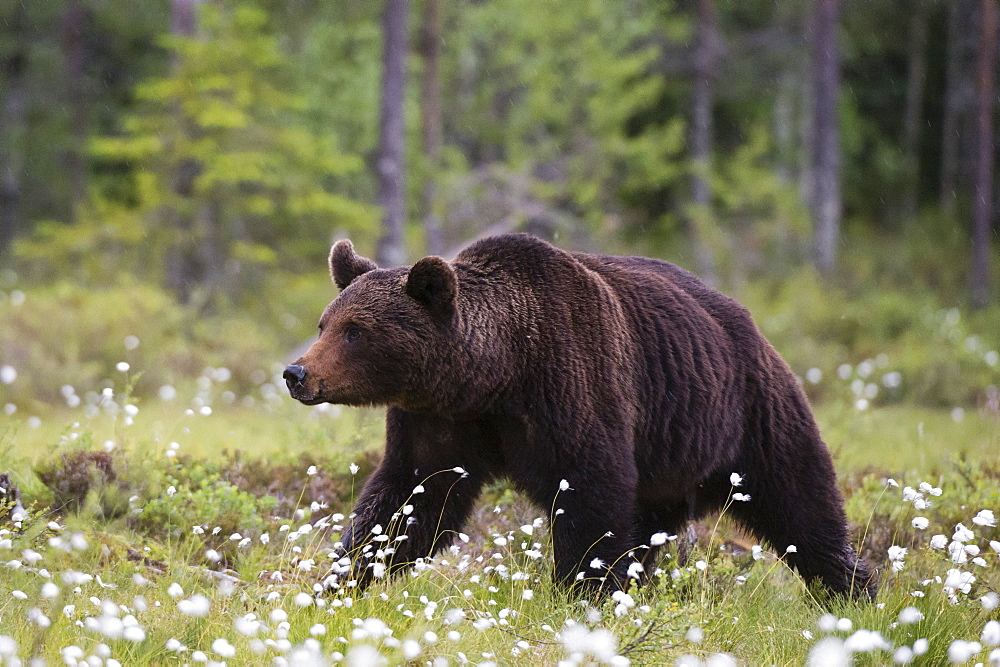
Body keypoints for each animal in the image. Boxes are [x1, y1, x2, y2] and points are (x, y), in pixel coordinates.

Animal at [288, 235, 876, 600]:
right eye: (324, 323)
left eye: (355, 331)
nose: (297, 373)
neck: (496, 375)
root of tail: (751, 324)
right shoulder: (442, 422)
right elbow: (411, 500)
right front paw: (342, 579)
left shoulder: (572, 387)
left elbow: (590, 494)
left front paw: (581, 591)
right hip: (667, 465)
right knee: (651, 528)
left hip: (749, 417)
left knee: (800, 506)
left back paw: (853, 590)